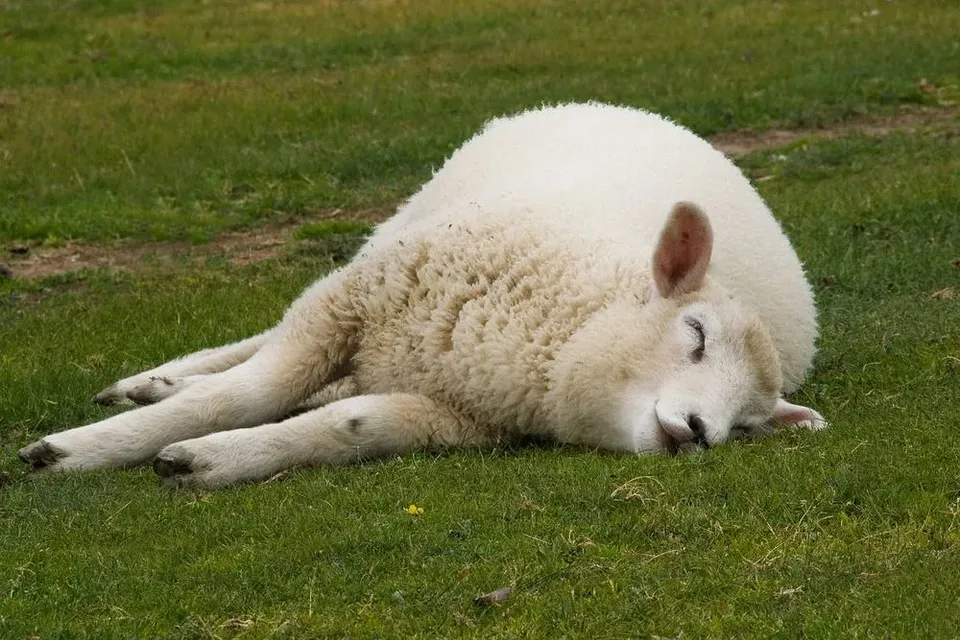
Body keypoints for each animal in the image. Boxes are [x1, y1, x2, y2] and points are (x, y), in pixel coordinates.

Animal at [15, 102, 824, 488]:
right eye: (695, 334)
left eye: (750, 425)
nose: (702, 432)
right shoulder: (353, 304)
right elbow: (246, 392)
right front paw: (78, 450)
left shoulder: (458, 417)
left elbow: (352, 425)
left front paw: (213, 461)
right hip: (390, 235)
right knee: (258, 343)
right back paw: (152, 383)